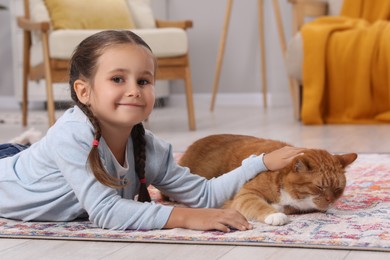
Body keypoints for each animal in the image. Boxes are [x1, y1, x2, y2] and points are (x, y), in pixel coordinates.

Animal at [178, 134, 358, 225]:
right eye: (319, 187)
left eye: (337, 189)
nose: (330, 200)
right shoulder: (247, 193)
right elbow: (257, 204)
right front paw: (275, 215)